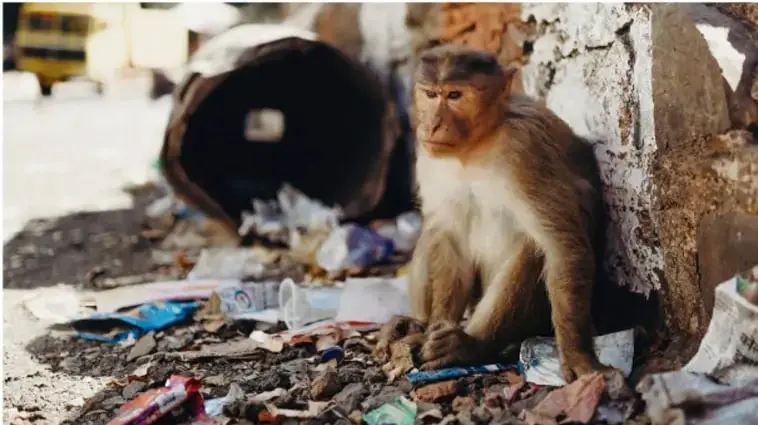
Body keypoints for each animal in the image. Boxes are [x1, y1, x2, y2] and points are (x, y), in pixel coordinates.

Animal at [374, 44, 611, 383]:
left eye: (455, 95)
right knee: (434, 231)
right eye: (431, 94)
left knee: (532, 248)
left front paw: (579, 355)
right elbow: (450, 236)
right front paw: (434, 326)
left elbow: (562, 246)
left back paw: (471, 345)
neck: (475, 147)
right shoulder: (429, 156)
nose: (431, 125)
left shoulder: (524, 151)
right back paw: (415, 325)